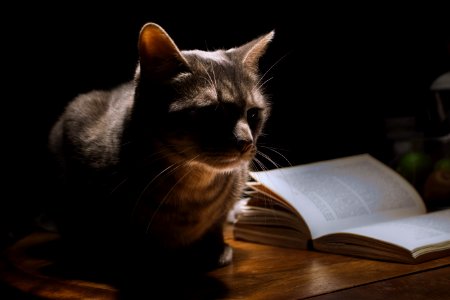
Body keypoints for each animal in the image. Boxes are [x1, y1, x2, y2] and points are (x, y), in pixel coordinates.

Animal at [49, 21, 274, 270]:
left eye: (252, 114)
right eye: (212, 112)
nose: (246, 142)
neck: (194, 187)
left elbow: (216, 223)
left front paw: (214, 248)